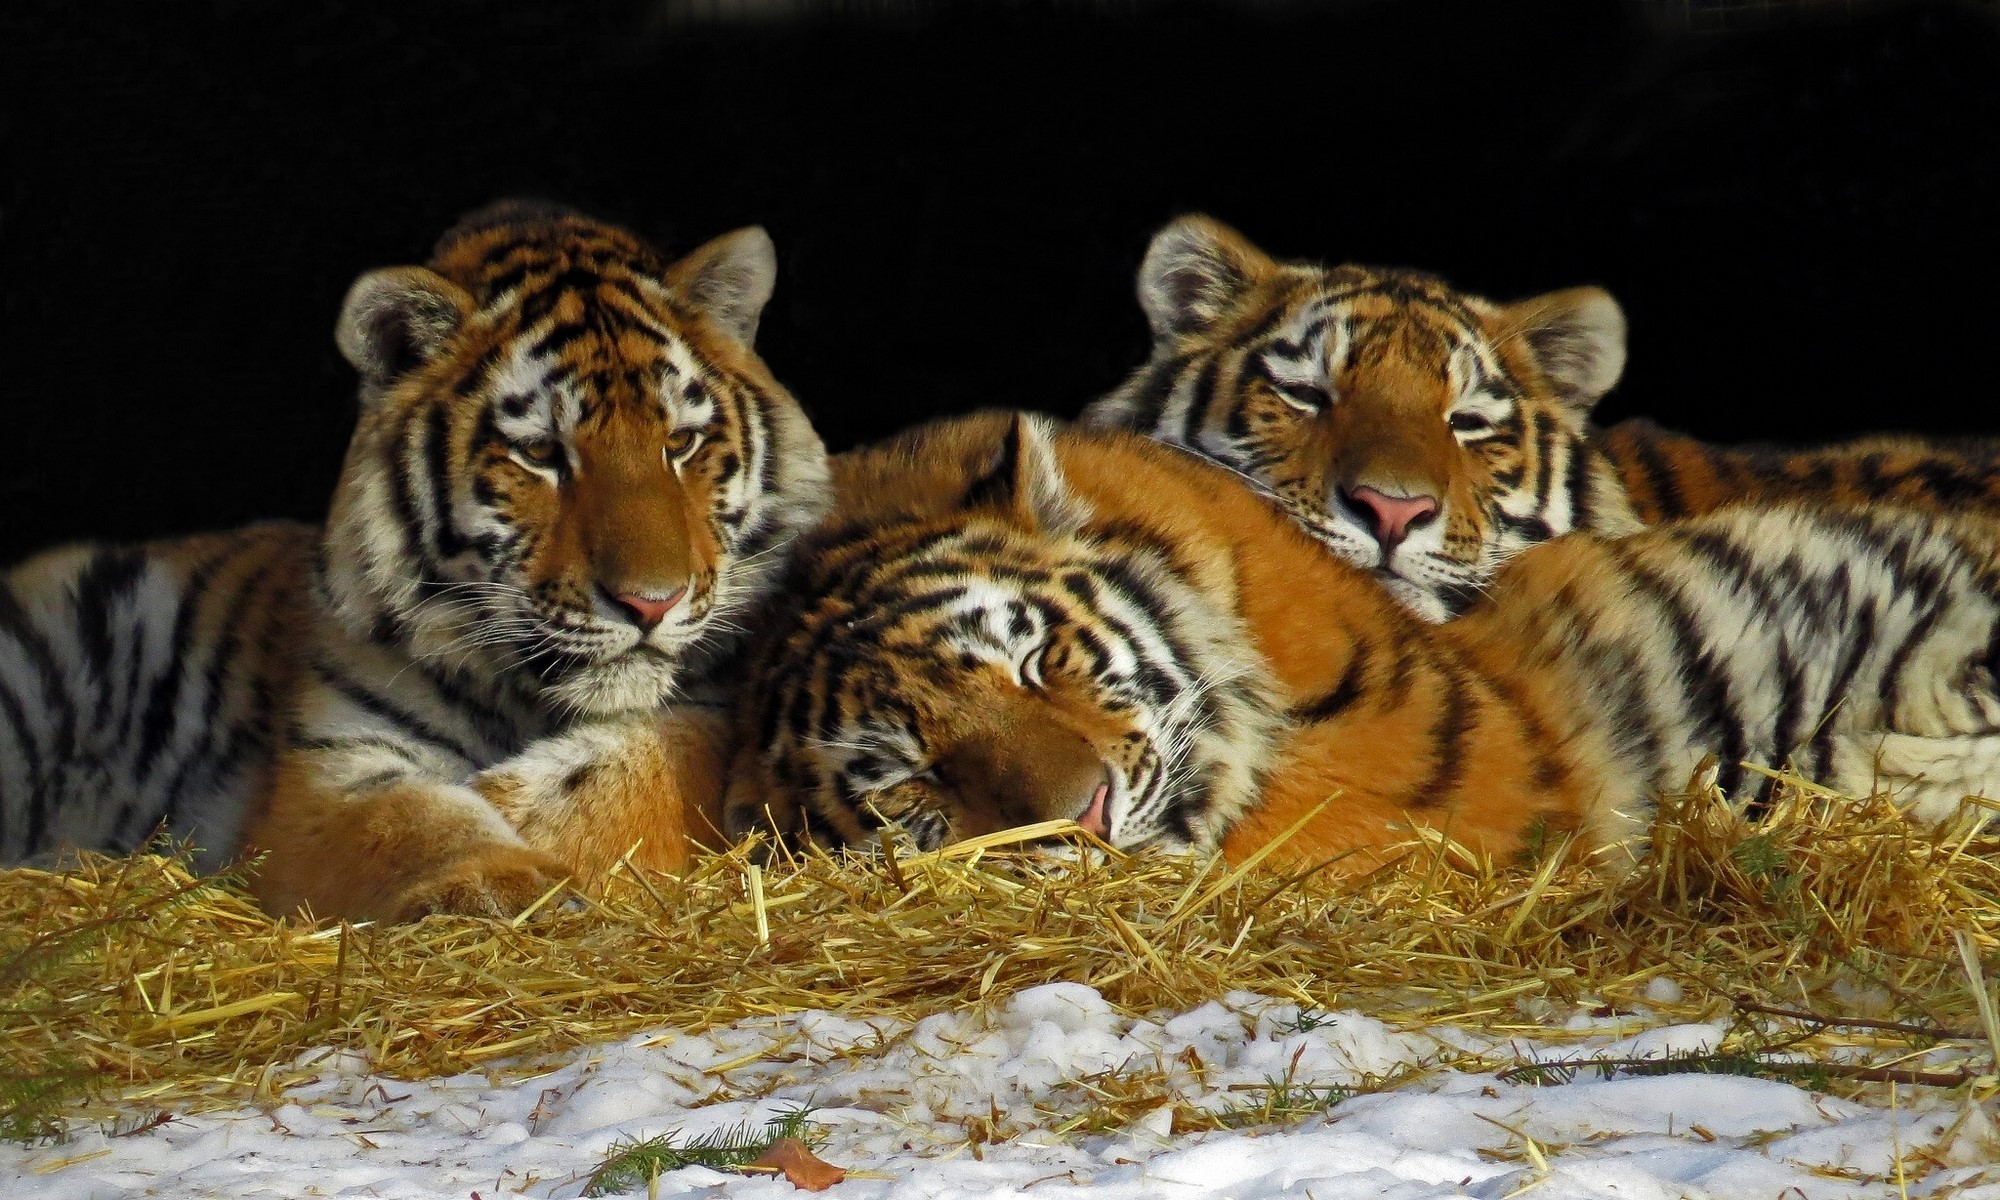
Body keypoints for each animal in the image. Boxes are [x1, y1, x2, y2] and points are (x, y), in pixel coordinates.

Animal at [0, 200, 831, 920]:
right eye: (540, 455)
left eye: (681, 443)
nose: (651, 603)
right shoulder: (332, 766)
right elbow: (416, 824)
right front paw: (512, 882)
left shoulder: (724, 705)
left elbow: (654, 765)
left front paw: (520, 803)